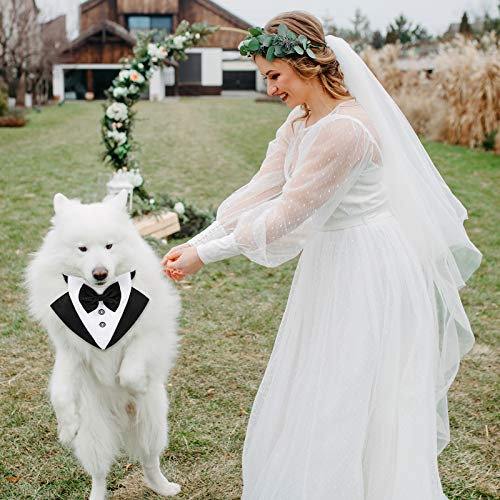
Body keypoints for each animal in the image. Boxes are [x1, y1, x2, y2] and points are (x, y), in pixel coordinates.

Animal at [25, 191, 182, 500]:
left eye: (109, 246)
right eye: (82, 249)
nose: (100, 273)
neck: (100, 297)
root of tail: (121, 419)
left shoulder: (149, 332)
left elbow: (131, 369)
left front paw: (136, 385)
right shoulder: (70, 351)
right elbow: (60, 393)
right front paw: (66, 428)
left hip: (152, 423)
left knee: (150, 461)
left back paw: (164, 487)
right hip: (94, 436)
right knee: (99, 473)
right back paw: (97, 493)